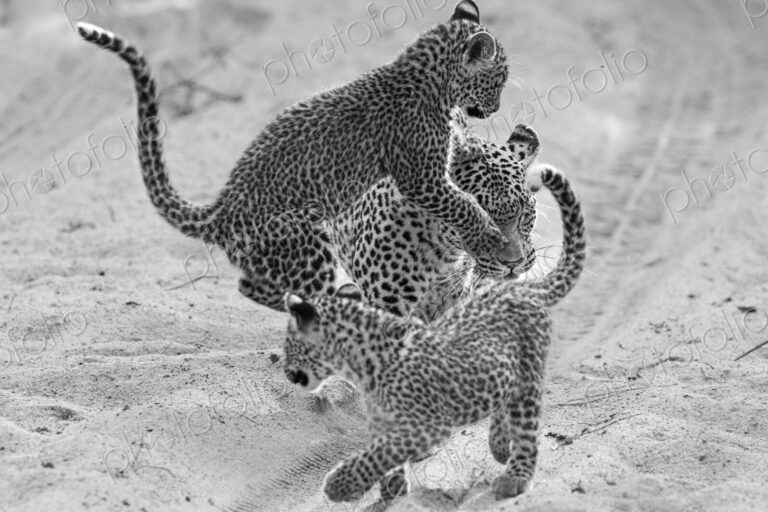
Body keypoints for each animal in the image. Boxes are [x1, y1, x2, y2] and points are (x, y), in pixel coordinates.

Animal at [76, 0, 518, 312]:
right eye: (499, 79)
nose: (496, 107)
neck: (430, 79)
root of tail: (220, 212)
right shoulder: (421, 177)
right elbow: (463, 205)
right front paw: (491, 238)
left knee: (256, 284)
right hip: (303, 233)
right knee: (257, 285)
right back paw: (337, 302)